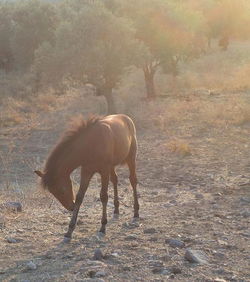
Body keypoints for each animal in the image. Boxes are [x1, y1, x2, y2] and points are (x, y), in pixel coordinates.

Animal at [33, 113, 139, 241]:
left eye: (61, 190)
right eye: (52, 192)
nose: (71, 207)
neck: (91, 145)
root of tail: (126, 117)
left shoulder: (104, 170)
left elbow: (103, 196)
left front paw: (103, 226)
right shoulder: (86, 171)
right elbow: (79, 197)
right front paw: (69, 230)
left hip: (131, 158)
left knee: (133, 180)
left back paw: (136, 212)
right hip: (112, 166)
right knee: (115, 180)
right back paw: (116, 209)